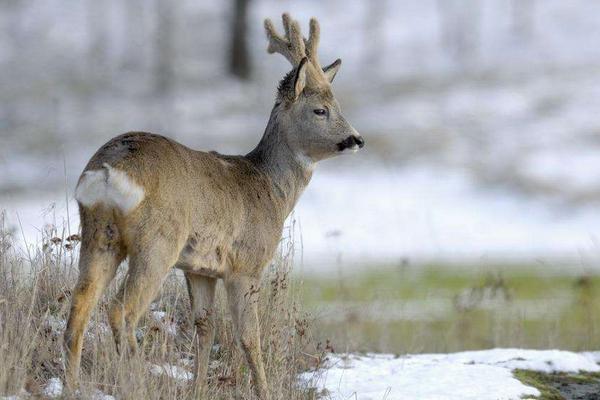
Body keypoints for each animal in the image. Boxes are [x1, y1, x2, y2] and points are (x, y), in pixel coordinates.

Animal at [64, 13, 366, 400]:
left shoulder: (199, 268)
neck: (270, 187)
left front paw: (197, 388)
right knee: (121, 311)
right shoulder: (246, 264)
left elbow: (204, 330)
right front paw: (264, 391)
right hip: (157, 242)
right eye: (320, 110)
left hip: (99, 234)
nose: (357, 139)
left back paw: (71, 388)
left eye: (338, 105)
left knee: (79, 308)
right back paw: (136, 382)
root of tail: (106, 169)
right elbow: (248, 337)